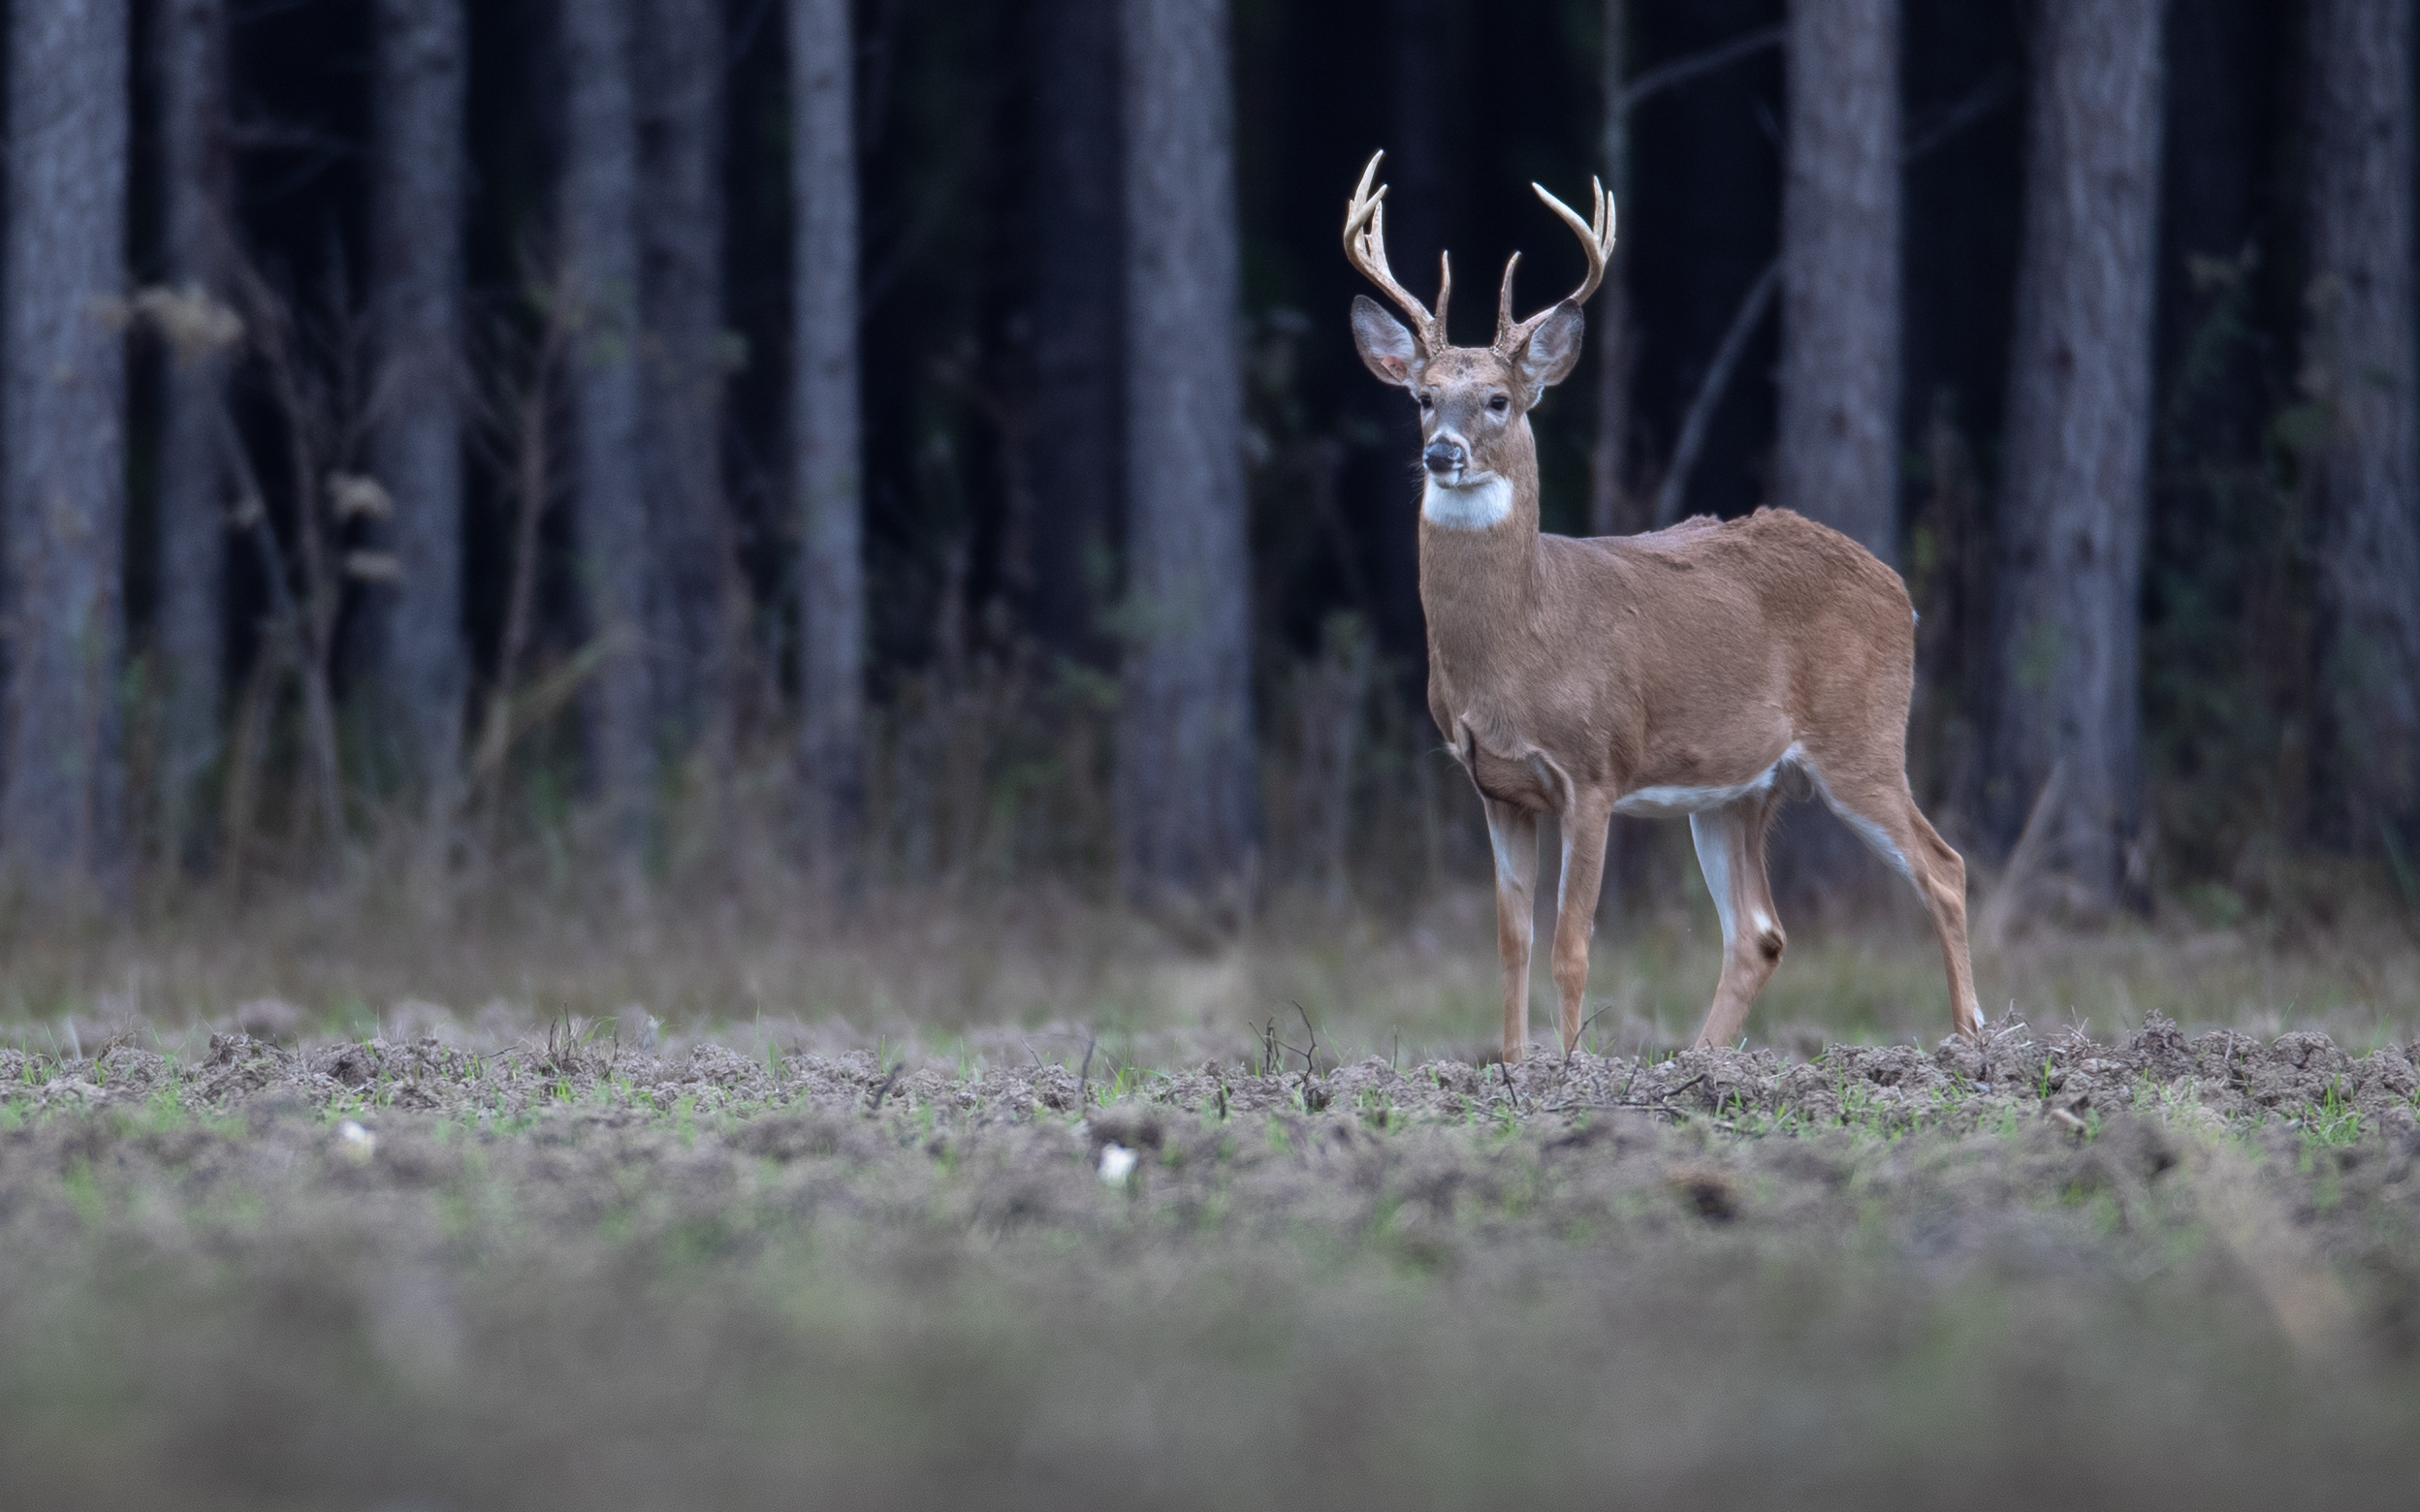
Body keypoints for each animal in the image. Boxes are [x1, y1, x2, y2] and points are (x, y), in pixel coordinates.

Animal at [1345, 147, 1984, 1055]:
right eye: (1422, 397)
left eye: (1499, 400)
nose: (1442, 453)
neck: (1520, 645)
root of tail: (1899, 588)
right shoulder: (1496, 786)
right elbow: (1511, 942)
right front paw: (1512, 1065)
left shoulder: (1593, 767)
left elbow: (1572, 945)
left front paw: (1571, 1067)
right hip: (1738, 789)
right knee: (1759, 931)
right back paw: (1702, 1061)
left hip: (1861, 737)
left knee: (1945, 867)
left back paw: (1974, 1042)